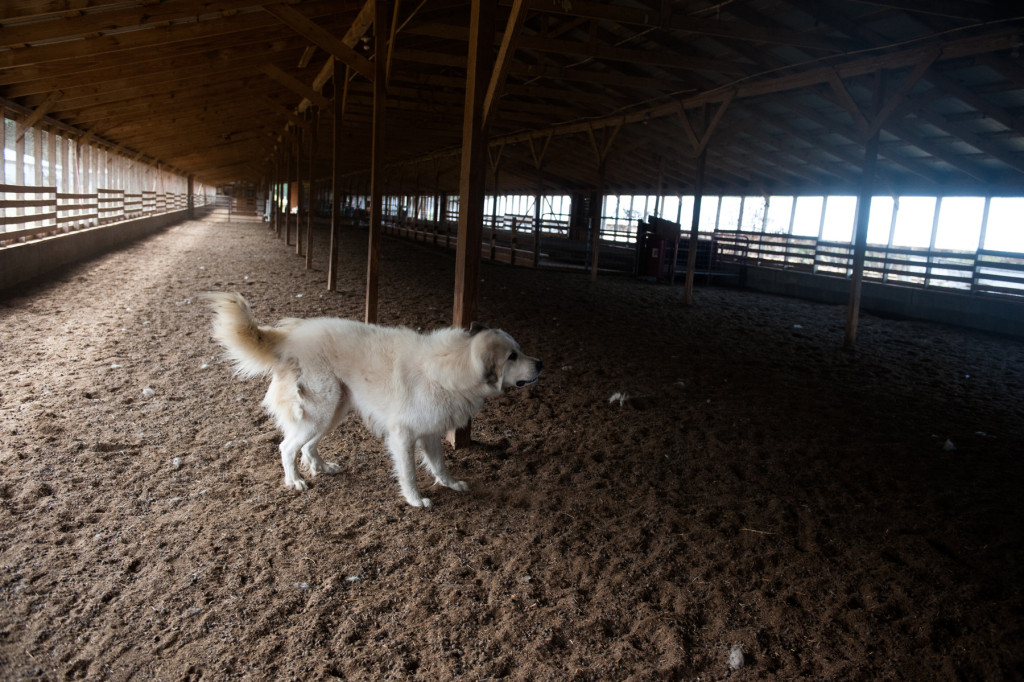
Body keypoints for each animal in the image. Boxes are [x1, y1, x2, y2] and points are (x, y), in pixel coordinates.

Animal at [205, 290, 544, 503]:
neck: (454, 364)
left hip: (332, 412)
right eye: (512, 356)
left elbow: (439, 465)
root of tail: (290, 337)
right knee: (287, 447)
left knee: (308, 447)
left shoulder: (430, 433)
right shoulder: (403, 435)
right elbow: (408, 472)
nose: (540, 364)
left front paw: (450, 484)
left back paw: (323, 468)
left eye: (519, 350)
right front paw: (416, 500)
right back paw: (296, 481)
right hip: (319, 411)